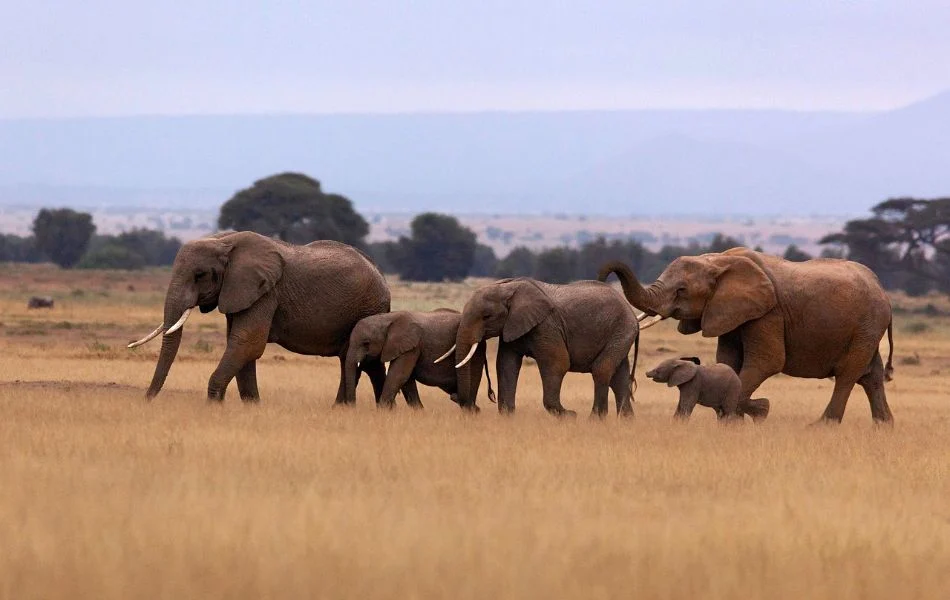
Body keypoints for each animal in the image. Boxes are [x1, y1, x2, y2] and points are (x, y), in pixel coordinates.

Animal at [127, 231, 391, 403]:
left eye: (200, 275)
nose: (147, 400)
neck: (224, 241)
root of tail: (380, 273)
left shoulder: (265, 292)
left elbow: (246, 343)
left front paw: (214, 405)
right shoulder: (240, 292)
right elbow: (240, 345)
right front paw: (252, 406)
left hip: (369, 306)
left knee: (358, 360)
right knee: (358, 361)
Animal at [343, 309, 494, 410]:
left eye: (366, 343)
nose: (352, 407)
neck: (388, 318)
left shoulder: (412, 346)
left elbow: (398, 376)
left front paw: (382, 411)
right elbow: (406, 380)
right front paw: (419, 412)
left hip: (476, 354)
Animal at [452, 277, 640, 418]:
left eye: (487, 316)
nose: (455, 398)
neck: (508, 287)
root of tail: (631, 312)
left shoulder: (546, 325)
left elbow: (557, 363)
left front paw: (570, 416)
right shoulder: (512, 326)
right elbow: (506, 364)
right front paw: (507, 416)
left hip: (621, 329)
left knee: (602, 370)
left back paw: (595, 419)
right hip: (620, 333)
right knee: (619, 378)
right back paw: (626, 421)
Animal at [598, 247, 895, 424]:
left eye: (682, 290)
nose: (602, 278)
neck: (719, 260)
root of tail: (883, 290)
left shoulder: (768, 312)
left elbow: (767, 361)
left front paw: (757, 411)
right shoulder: (730, 312)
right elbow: (728, 361)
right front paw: (749, 414)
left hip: (866, 325)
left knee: (848, 374)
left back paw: (821, 426)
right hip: (867, 328)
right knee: (871, 377)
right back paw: (884, 427)